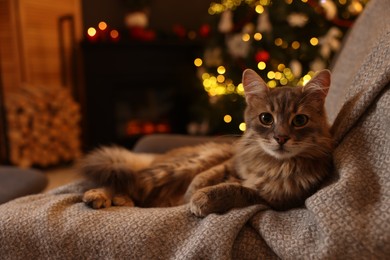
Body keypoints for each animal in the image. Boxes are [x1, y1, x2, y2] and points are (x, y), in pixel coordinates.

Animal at [80, 68, 334, 217]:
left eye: (299, 120)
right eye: (266, 118)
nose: (281, 138)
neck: (271, 163)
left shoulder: (275, 199)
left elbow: (236, 189)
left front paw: (201, 198)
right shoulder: (227, 164)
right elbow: (205, 178)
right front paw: (192, 194)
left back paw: (122, 199)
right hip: (178, 166)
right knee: (128, 179)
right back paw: (99, 195)